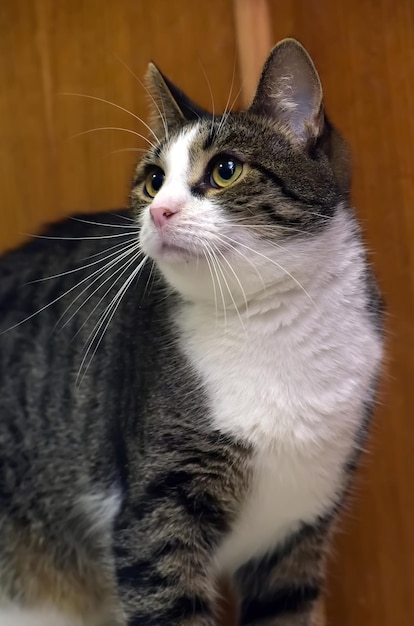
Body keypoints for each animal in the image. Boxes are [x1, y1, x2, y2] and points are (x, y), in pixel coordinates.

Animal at [0, 39, 384, 624]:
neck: (267, 321)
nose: (160, 211)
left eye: (225, 169)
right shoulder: (155, 518)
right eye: (153, 180)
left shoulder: (299, 528)